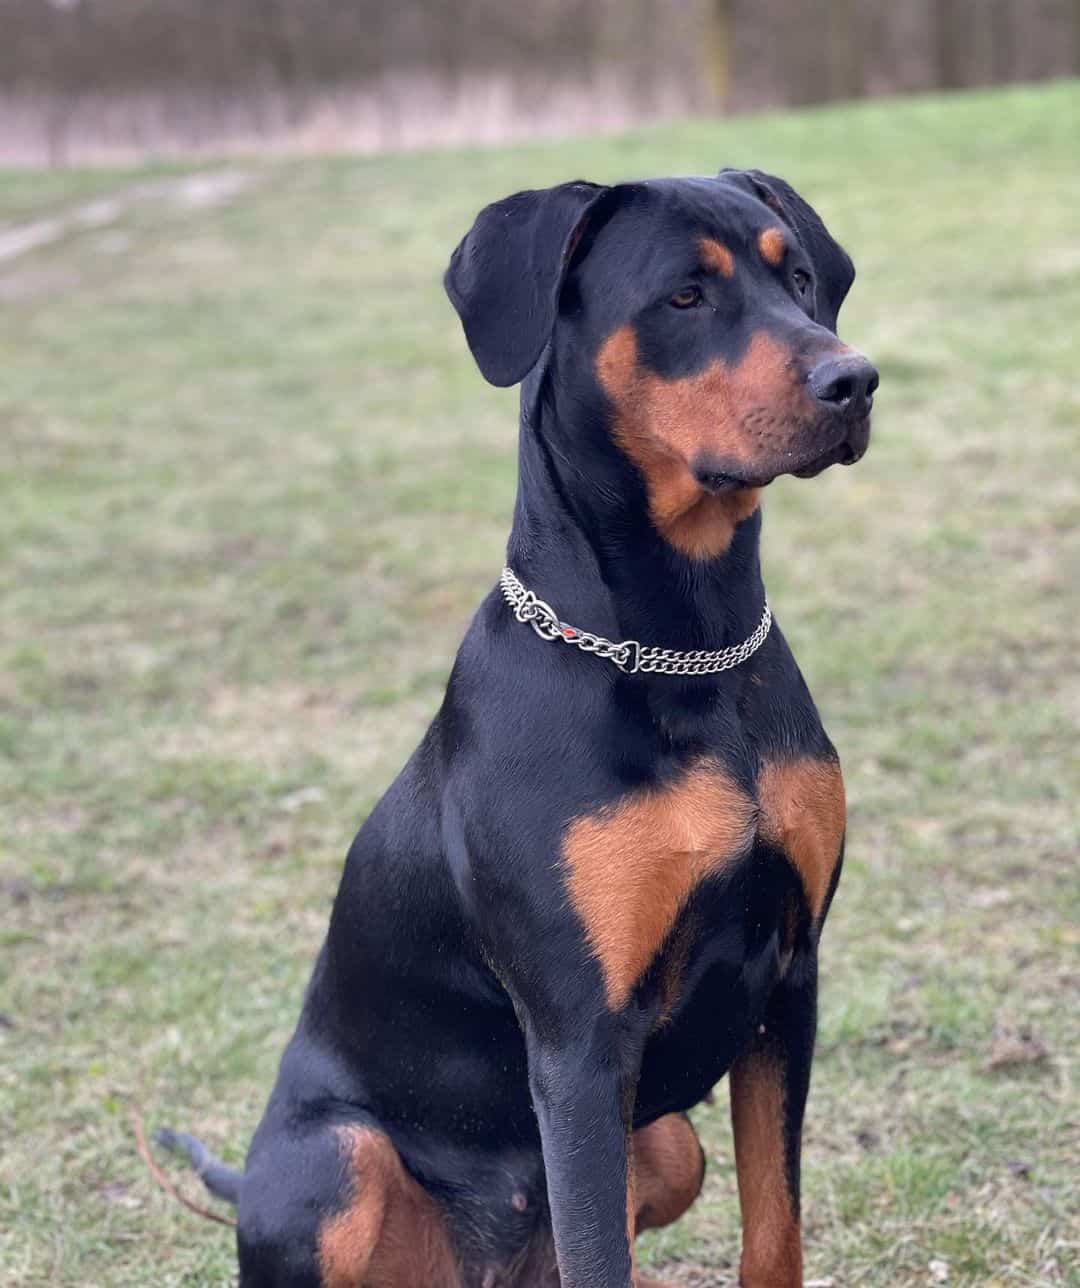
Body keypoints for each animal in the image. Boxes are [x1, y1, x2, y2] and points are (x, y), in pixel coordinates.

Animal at [164, 171, 880, 1288]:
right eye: (683, 296)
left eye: (799, 276)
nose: (858, 380)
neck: (682, 650)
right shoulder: (580, 1039)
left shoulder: (789, 980)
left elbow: (775, 1232)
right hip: (336, 1163)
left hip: (666, 1145)